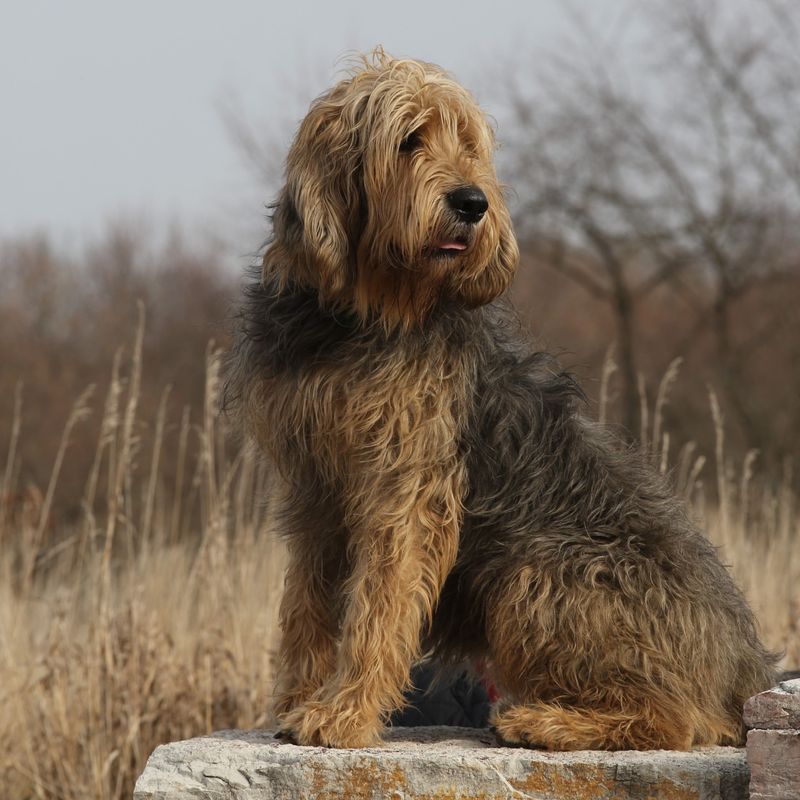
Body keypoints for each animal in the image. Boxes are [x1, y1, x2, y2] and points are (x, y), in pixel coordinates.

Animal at [225, 50, 776, 752]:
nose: (473, 202)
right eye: (410, 139)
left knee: (679, 719)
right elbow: (306, 605)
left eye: (469, 143)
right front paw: (298, 702)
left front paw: (343, 713)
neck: (363, 313)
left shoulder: (406, 490)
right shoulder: (314, 489)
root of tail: (744, 667)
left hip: (537, 575)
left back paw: (545, 720)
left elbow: (381, 601)